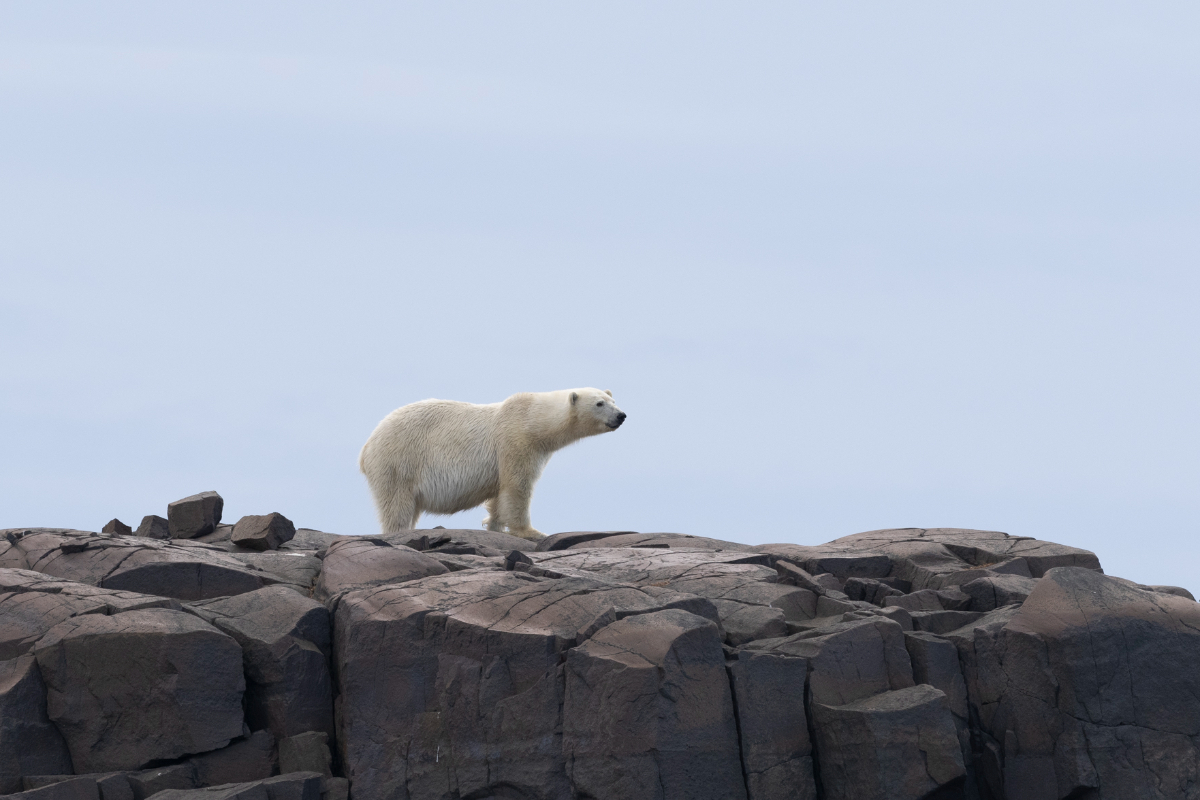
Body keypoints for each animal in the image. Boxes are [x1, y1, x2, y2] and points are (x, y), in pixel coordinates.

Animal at [359, 388, 626, 540]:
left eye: (613, 400)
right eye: (599, 403)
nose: (621, 415)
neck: (533, 419)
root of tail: (367, 447)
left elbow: (499, 494)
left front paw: (495, 527)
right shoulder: (516, 441)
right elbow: (517, 487)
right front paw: (531, 532)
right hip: (398, 460)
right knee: (397, 505)